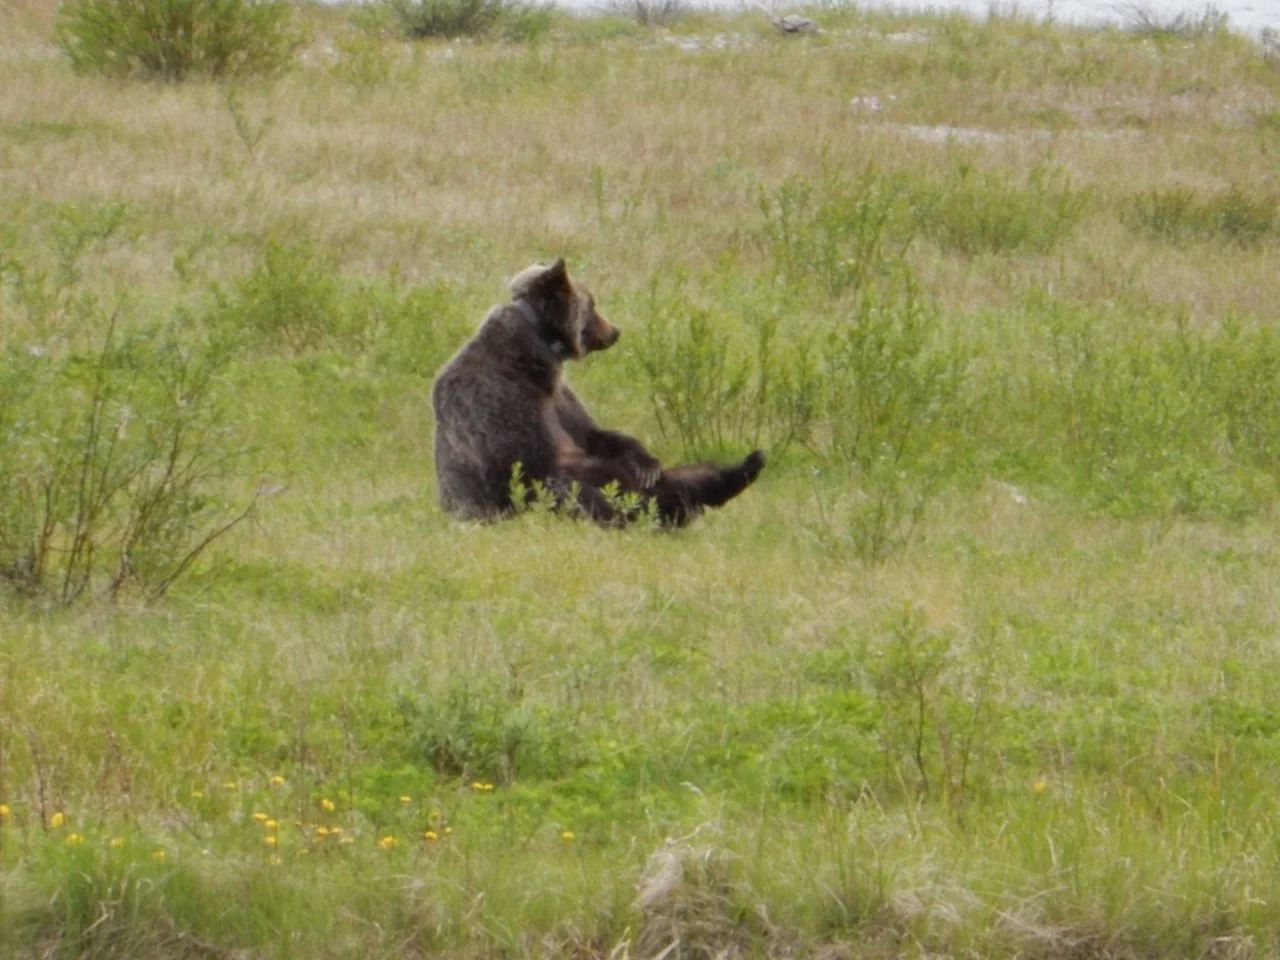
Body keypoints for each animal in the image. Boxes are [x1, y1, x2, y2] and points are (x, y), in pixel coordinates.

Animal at [431, 258, 765, 528]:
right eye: (592, 304)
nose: (615, 330)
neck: (536, 360)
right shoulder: (503, 402)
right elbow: (538, 463)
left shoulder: (560, 398)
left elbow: (596, 435)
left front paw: (646, 463)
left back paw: (743, 466)